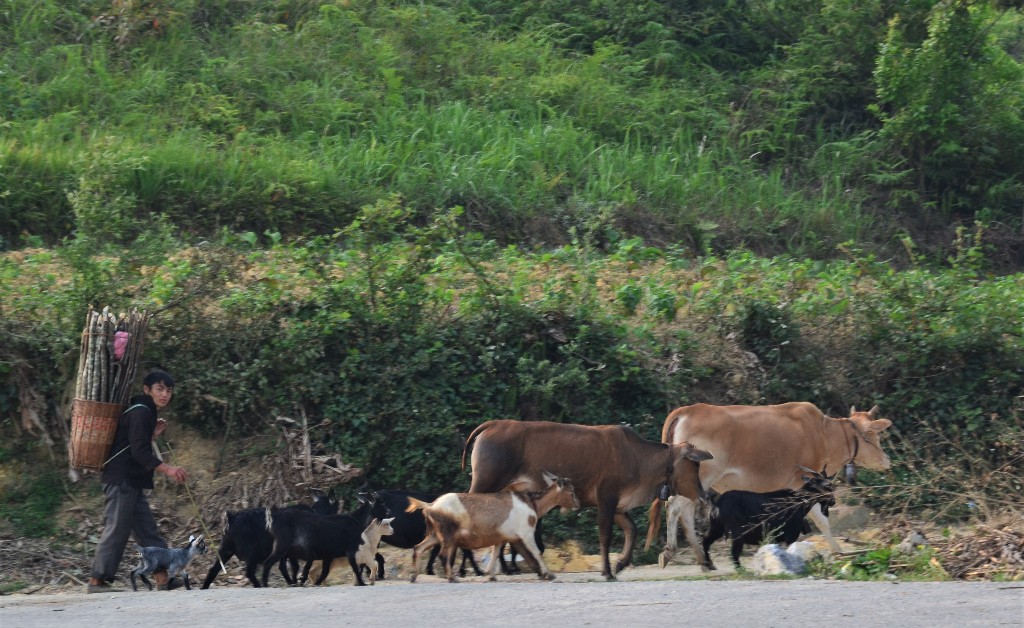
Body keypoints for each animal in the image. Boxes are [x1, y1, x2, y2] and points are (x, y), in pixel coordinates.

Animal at [199, 485, 339, 585]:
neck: (315, 512)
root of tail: (231, 519)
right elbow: (301, 564)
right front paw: (300, 579)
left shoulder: (287, 552)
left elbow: (290, 567)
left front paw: (293, 582)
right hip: (252, 553)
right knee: (250, 573)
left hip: (226, 549)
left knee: (213, 570)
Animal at [403, 475, 577, 581]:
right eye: (571, 491)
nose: (578, 504)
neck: (531, 503)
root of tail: (431, 505)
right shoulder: (525, 533)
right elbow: (535, 552)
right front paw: (549, 574)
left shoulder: (504, 537)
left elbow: (496, 552)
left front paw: (490, 575)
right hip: (448, 534)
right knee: (443, 554)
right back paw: (451, 578)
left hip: (435, 534)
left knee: (418, 548)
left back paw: (414, 576)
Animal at [464, 417, 712, 581]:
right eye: (694, 465)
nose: (703, 496)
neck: (638, 458)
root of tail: (493, 424)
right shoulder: (606, 498)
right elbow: (606, 535)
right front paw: (608, 571)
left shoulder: (618, 506)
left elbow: (632, 530)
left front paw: (620, 564)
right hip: (484, 483)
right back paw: (473, 569)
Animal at [700, 465, 835, 569]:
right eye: (826, 486)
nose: (833, 501)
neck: (799, 501)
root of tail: (717, 504)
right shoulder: (791, 535)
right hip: (737, 532)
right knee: (734, 552)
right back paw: (740, 570)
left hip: (716, 527)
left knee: (706, 540)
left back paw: (709, 565)